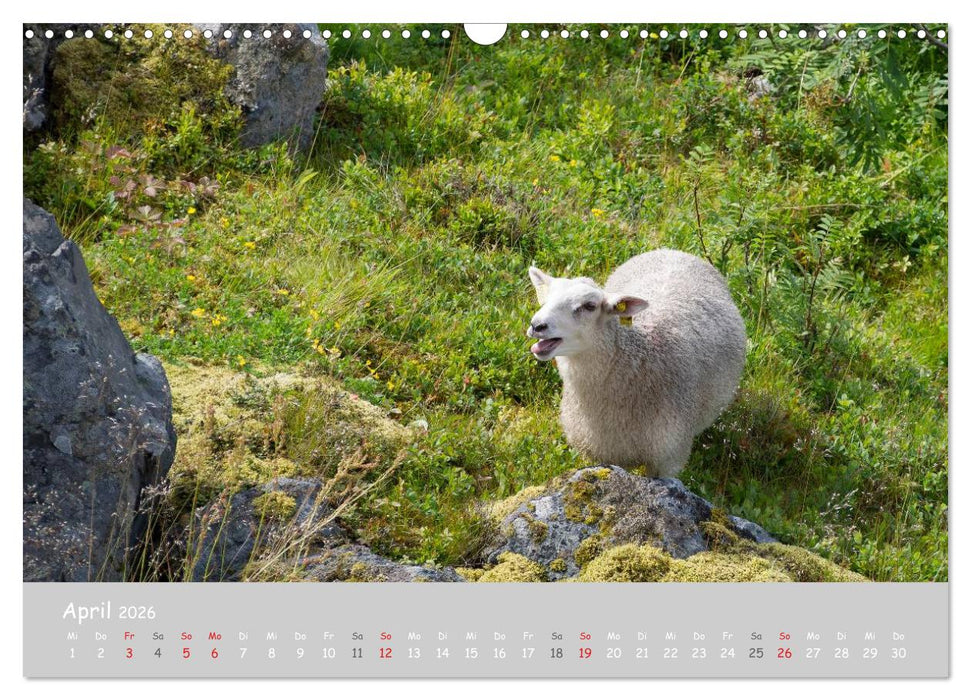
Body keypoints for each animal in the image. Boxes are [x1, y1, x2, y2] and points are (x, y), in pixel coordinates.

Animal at [527, 249, 746, 477]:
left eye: (589, 306)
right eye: (545, 300)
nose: (537, 325)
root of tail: (670, 251)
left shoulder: (669, 457)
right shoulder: (607, 454)